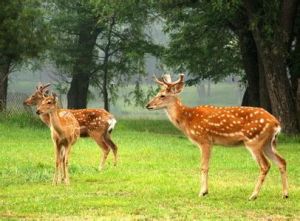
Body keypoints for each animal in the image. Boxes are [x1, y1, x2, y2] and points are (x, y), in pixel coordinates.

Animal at [146, 74, 288, 200]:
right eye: (157, 93)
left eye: (162, 95)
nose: (148, 105)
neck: (188, 119)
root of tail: (276, 124)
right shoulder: (209, 142)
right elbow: (206, 165)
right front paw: (205, 191)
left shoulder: (204, 140)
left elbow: (204, 166)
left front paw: (202, 192)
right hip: (269, 143)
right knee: (282, 161)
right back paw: (285, 194)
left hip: (254, 141)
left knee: (265, 165)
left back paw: (253, 195)